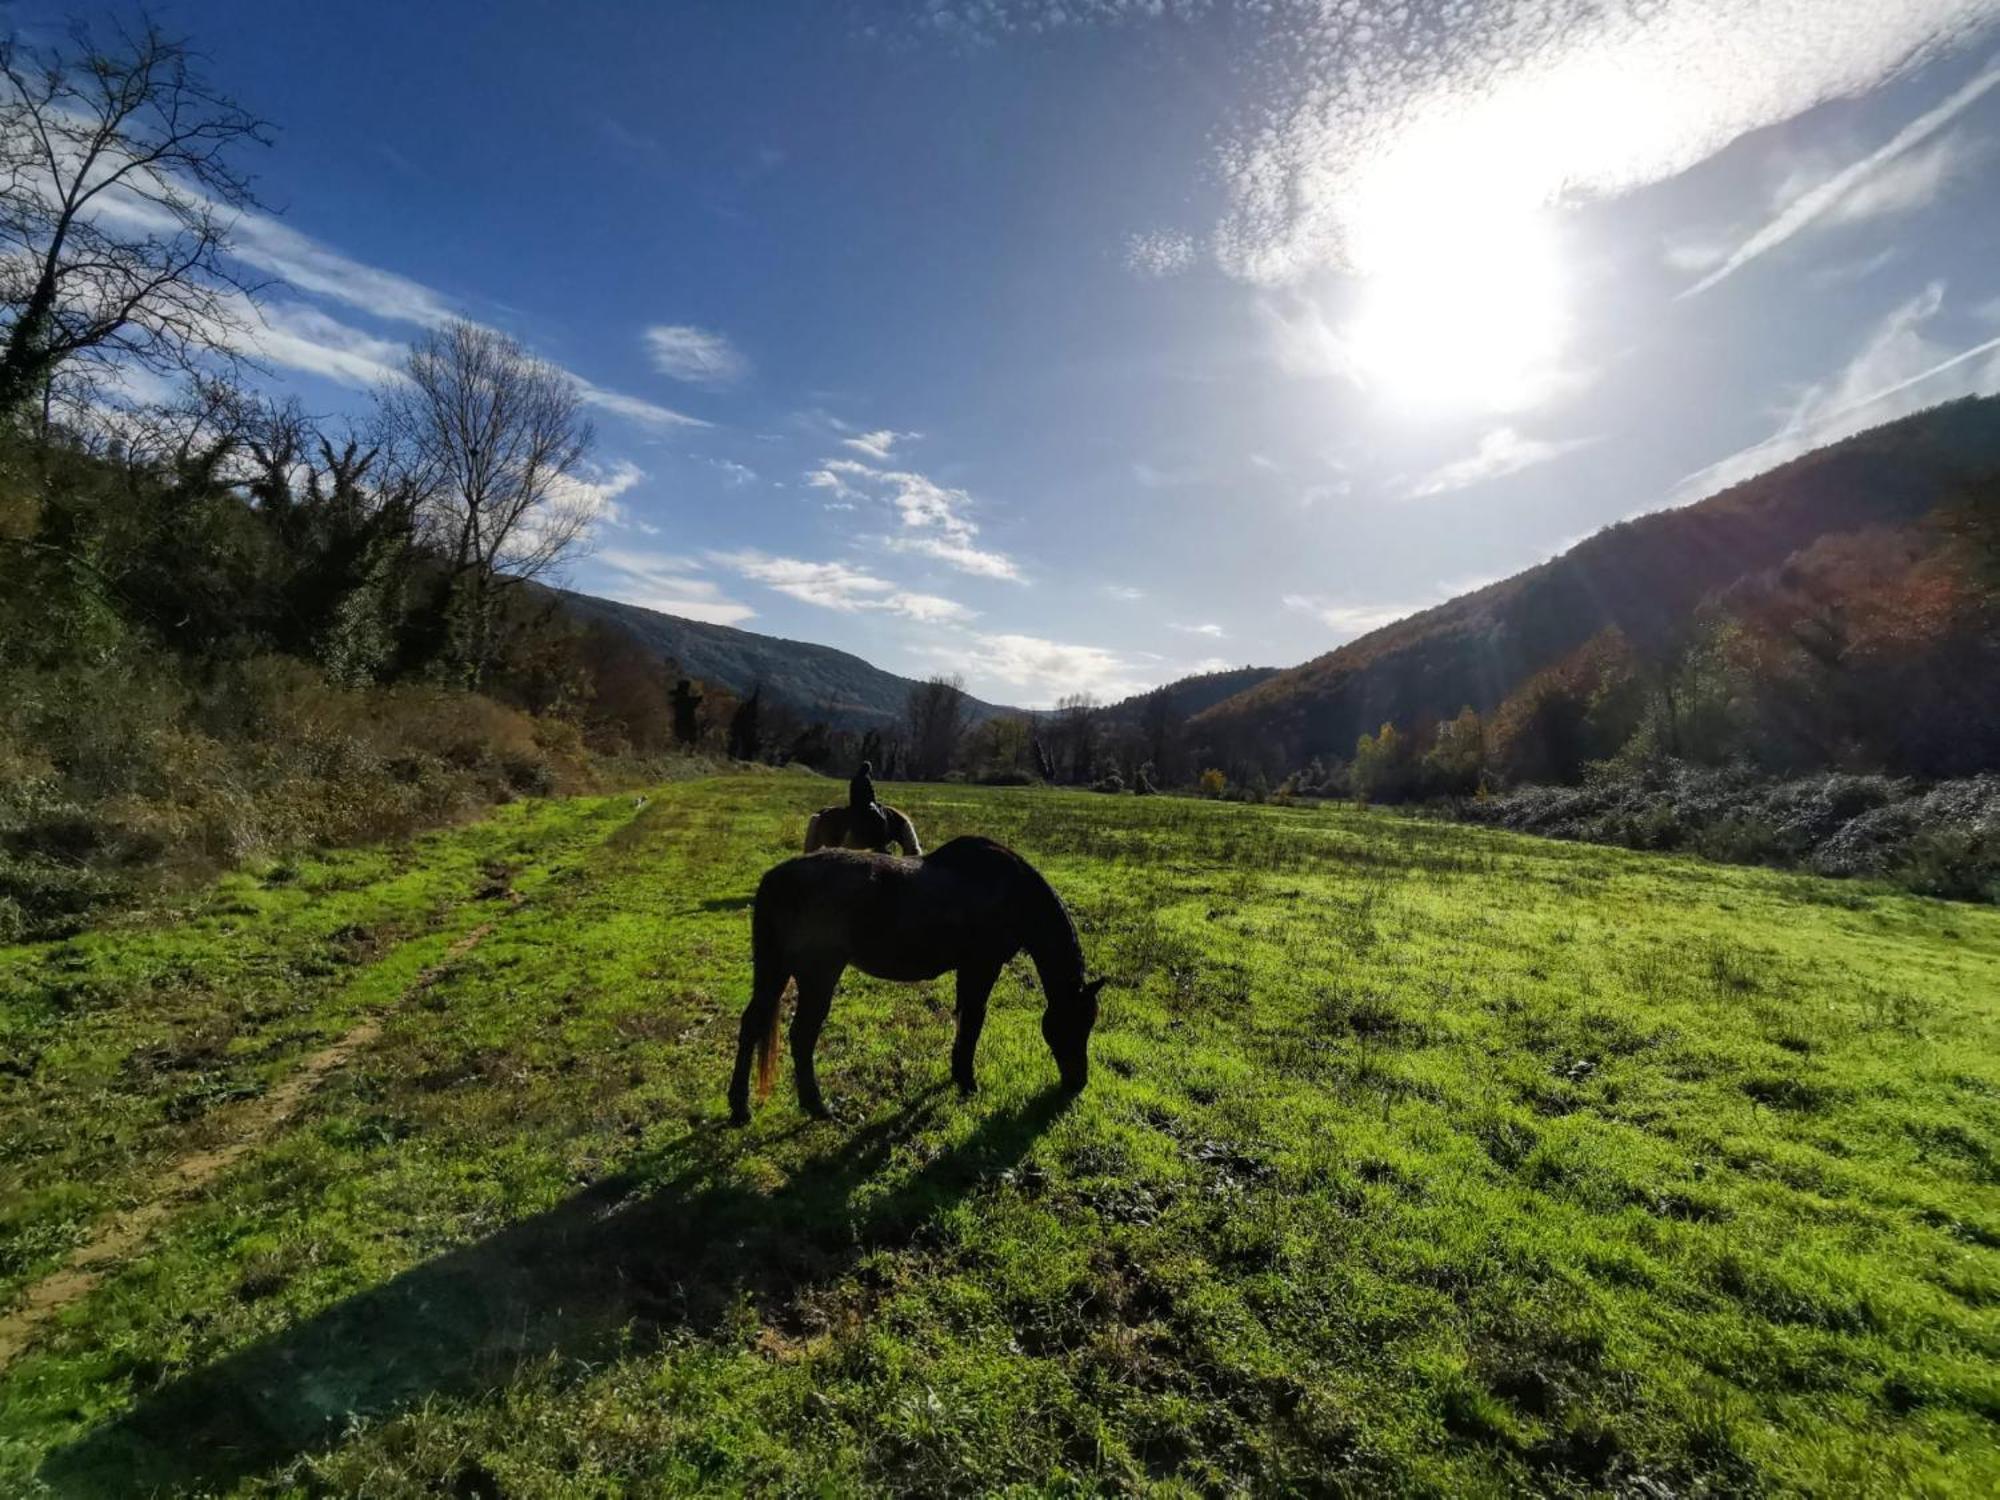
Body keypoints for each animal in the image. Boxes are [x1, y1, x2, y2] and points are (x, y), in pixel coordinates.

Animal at [732, 836, 1112, 1128]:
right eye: (1076, 1024)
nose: (1078, 1082)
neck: (1012, 893)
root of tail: (778, 877)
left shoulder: (969, 969)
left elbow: (964, 1019)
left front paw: (958, 1074)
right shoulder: (982, 966)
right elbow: (973, 1021)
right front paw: (967, 1082)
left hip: (776, 969)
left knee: (753, 1024)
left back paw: (741, 1107)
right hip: (817, 974)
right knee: (802, 1035)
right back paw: (816, 1105)